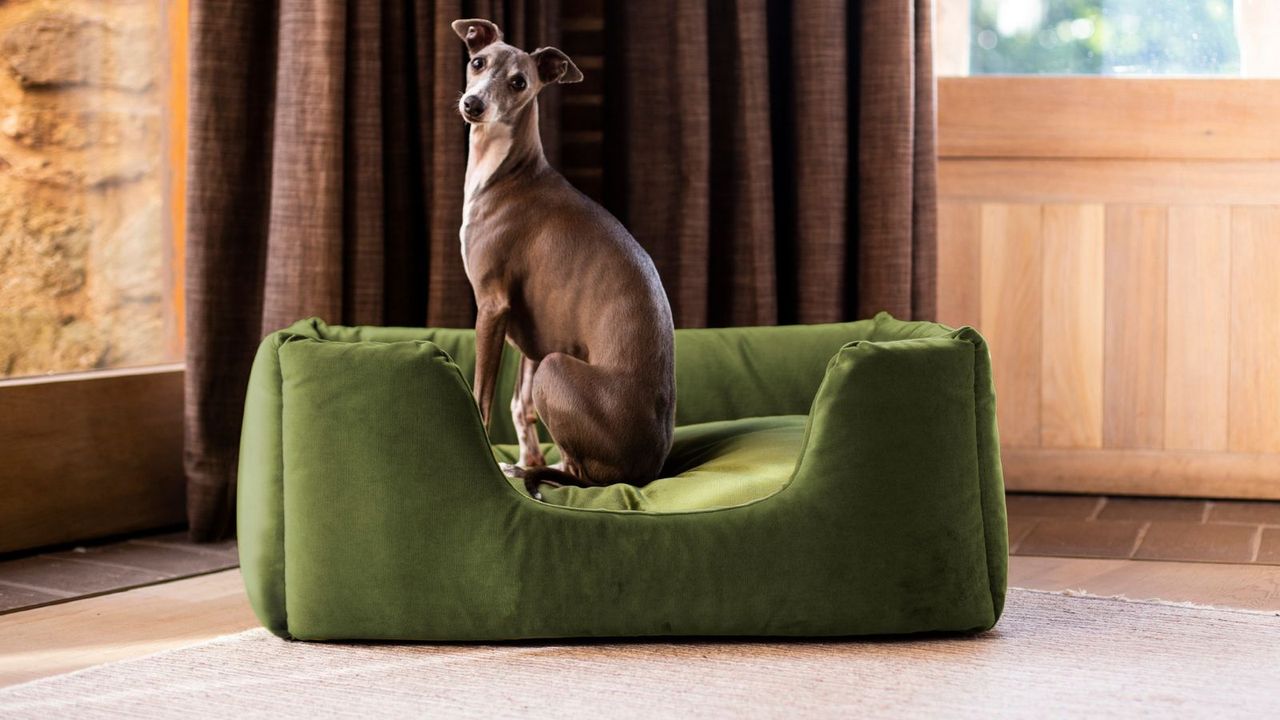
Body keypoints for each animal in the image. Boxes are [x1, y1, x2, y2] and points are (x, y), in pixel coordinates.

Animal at [453, 19, 680, 497]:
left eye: (519, 83)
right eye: (478, 62)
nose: (473, 104)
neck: (508, 175)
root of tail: (650, 469)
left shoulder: (492, 305)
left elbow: (482, 398)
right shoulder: (532, 330)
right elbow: (519, 407)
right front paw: (526, 459)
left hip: (556, 368)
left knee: (583, 477)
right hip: (548, 360)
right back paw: (531, 468)